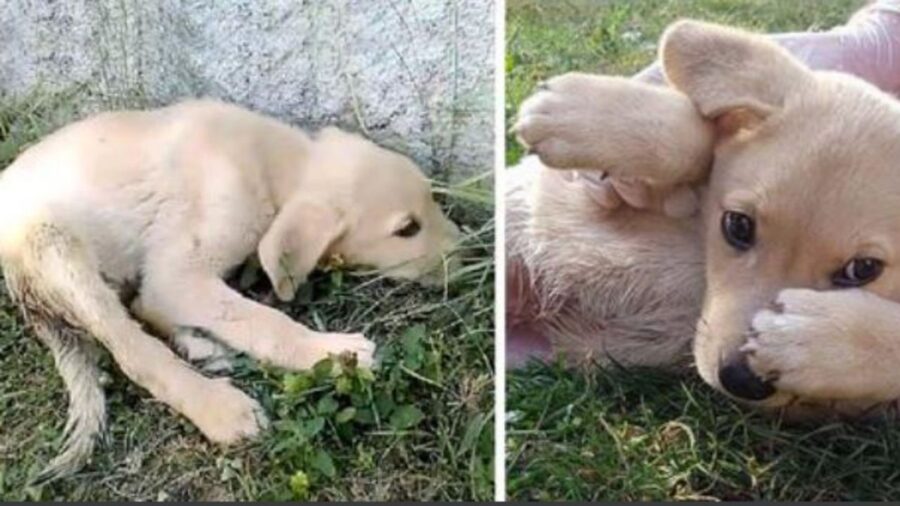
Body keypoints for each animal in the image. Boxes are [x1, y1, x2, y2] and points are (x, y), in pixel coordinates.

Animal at [0, 99, 460, 482]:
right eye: (407, 229)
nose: (469, 252)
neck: (271, 162)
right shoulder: (180, 272)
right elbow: (265, 321)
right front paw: (334, 352)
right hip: (57, 247)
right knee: (134, 349)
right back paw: (220, 406)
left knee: (142, 307)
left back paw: (202, 346)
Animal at [510, 19, 900, 420]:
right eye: (738, 226)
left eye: (862, 269)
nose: (742, 381)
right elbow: (700, 141)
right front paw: (580, 114)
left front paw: (814, 338)